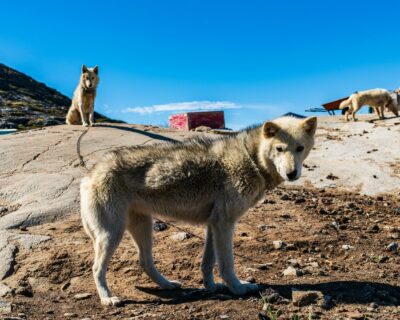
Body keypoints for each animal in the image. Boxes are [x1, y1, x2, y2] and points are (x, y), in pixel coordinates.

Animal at [80, 116, 318, 306]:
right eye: (279, 149)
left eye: (299, 148)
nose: (292, 174)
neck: (251, 158)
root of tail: (89, 174)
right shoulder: (224, 224)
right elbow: (227, 265)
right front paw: (239, 289)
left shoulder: (214, 225)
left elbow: (207, 263)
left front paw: (211, 287)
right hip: (112, 234)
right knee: (96, 268)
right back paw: (107, 299)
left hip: (143, 228)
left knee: (145, 262)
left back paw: (168, 285)